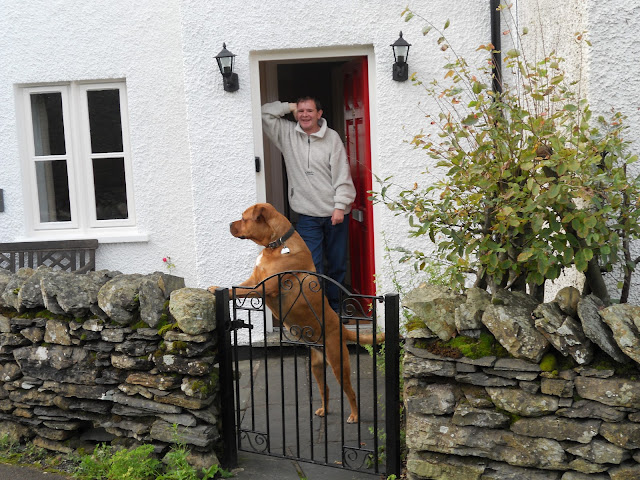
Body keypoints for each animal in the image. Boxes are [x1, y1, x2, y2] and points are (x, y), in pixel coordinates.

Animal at [209, 202, 384, 424]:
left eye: (243, 218)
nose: (229, 224)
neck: (277, 244)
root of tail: (343, 330)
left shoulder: (264, 287)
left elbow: (237, 291)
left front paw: (216, 289)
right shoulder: (254, 280)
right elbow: (237, 287)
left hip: (338, 364)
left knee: (351, 392)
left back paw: (354, 415)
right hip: (316, 367)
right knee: (325, 388)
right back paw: (324, 410)